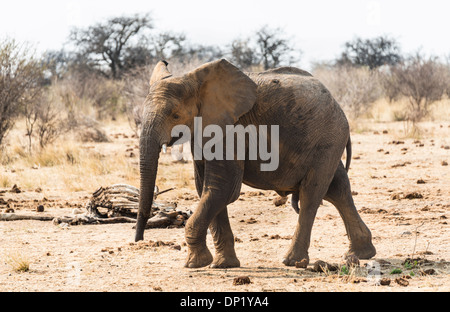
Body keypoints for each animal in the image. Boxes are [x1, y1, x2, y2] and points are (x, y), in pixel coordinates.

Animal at [136, 59, 376, 270]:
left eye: (175, 115)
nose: (138, 239)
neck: (197, 81)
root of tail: (338, 105)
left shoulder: (231, 130)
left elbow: (223, 189)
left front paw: (195, 264)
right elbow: (206, 189)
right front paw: (223, 265)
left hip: (327, 139)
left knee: (311, 195)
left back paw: (292, 261)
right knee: (337, 188)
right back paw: (361, 254)